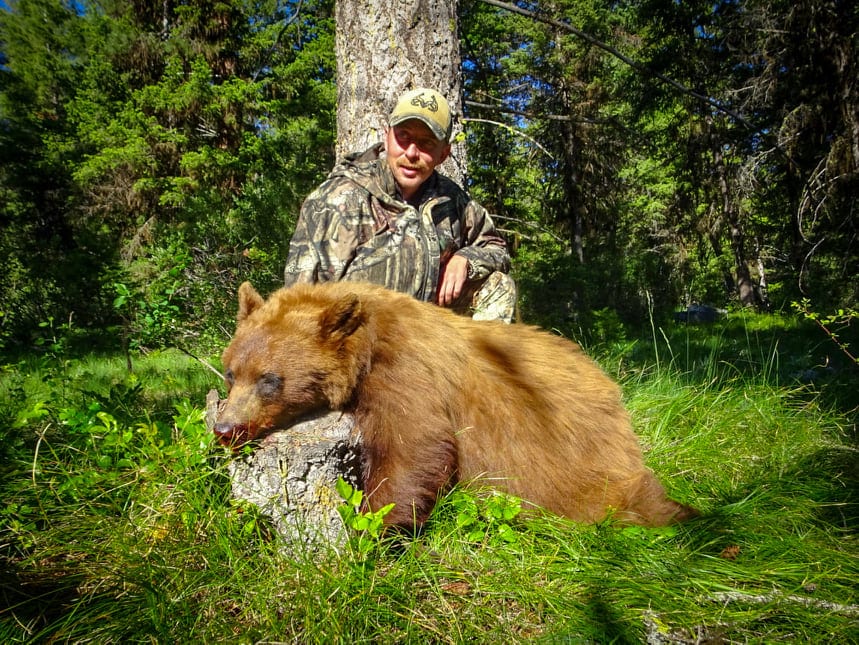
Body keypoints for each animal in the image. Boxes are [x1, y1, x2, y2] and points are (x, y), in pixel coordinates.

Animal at [214, 281, 697, 530]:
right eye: (231, 373)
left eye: (270, 380)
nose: (225, 428)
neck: (367, 341)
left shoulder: (408, 370)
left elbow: (417, 445)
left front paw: (375, 526)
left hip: (580, 460)